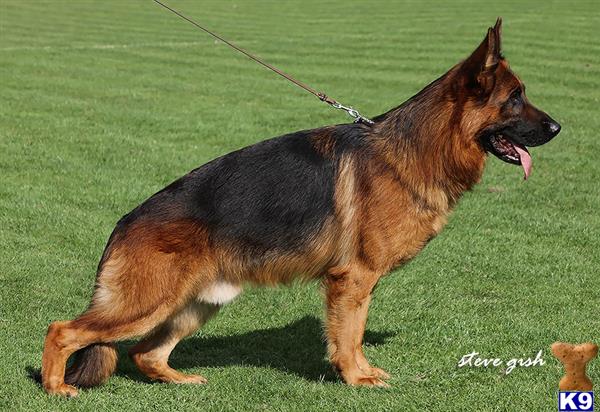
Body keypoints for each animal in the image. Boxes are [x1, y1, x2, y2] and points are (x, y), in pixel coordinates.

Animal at [41, 19, 556, 396]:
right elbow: (349, 333)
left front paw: (362, 372)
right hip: (145, 303)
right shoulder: (354, 278)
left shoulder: (358, 282)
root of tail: (125, 222)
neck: (417, 149)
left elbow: (355, 332)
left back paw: (179, 380)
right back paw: (55, 388)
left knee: (144, 354)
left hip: (198, 302)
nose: (558, 127)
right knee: (62, 330)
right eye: (515, 98)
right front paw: (356, 378)